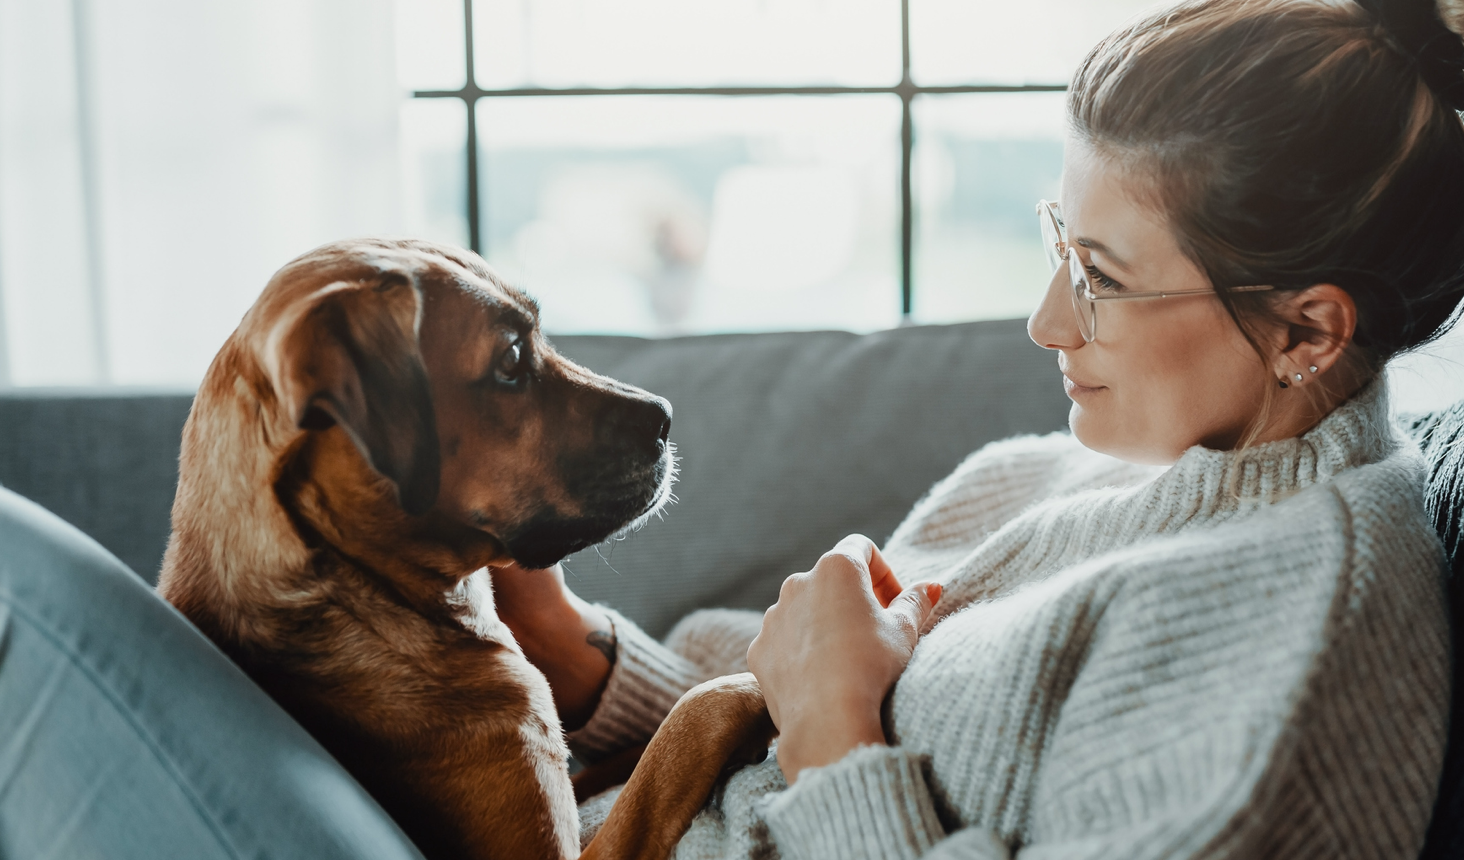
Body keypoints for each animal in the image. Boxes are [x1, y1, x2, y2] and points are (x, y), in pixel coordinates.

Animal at [157, 238, 778, 860]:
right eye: (510, 359)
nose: (667, 417)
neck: (360, 592)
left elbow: (641, 746)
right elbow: (685, 722)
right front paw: (753, 683)